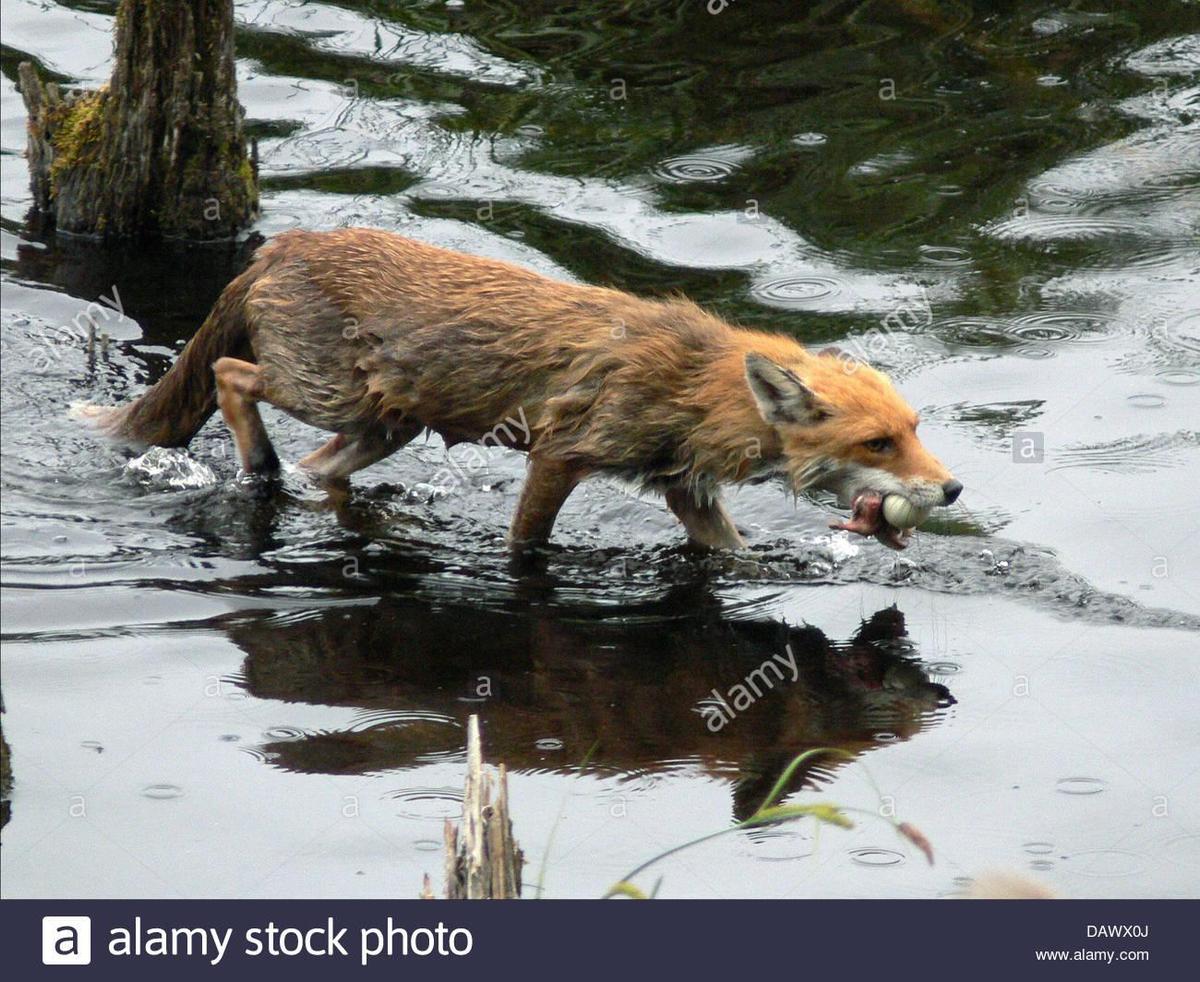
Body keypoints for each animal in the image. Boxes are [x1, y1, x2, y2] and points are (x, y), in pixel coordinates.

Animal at [75, 228, 960, 552]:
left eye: (916, 429)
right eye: (877, 442)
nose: (952, 489)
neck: (692, 385)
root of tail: (286, 242)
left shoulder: (685, 490)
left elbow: (732, 553)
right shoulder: (563, 452)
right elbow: (528, 544)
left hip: (381, 426)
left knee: (321, 469)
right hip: (326, 393)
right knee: (230, 378)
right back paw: (257, 465)